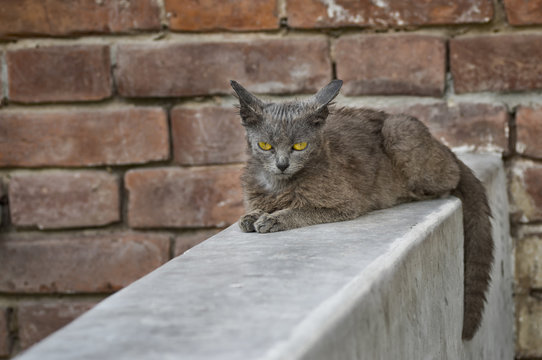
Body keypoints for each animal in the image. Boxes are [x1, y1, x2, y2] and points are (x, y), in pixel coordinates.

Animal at [232, 79, 496, 340]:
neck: (279, 185)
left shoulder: (347, 203)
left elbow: (301, 210)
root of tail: (439, 143)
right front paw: (251, 216)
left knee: (451, 178)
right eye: (265, 145)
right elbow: (257, 208)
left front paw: (272, 219)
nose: (282, 164)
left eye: (299, 146)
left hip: (399, 133)